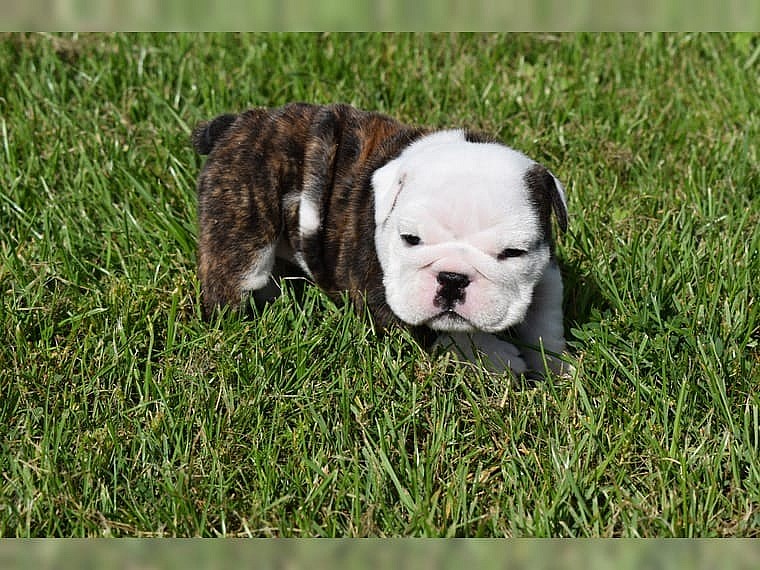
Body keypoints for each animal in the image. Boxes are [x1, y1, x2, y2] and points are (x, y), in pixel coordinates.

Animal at [192, 102, 570, 376]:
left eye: (513, 253)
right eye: (411, 239)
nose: (452, 278)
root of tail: (237, 124)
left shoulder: (547, 268)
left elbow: (546, 317)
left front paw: (556, 366)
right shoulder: (380, 295)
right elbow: (442, 331)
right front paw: (498, 357)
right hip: (243, 231)